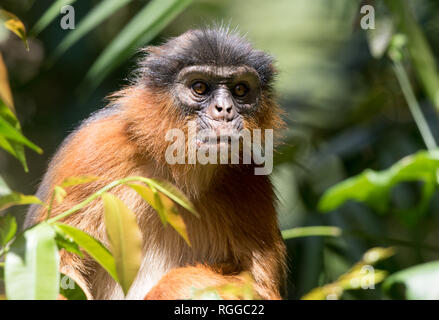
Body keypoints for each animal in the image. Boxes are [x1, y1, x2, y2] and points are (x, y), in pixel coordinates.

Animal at [26, 27, 288, 300]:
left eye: (240, 90)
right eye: (199, 87)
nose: (224, 109)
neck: (176, 173)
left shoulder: (250, 175)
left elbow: (260, 287)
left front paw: (170, 287)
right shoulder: (93, 147)